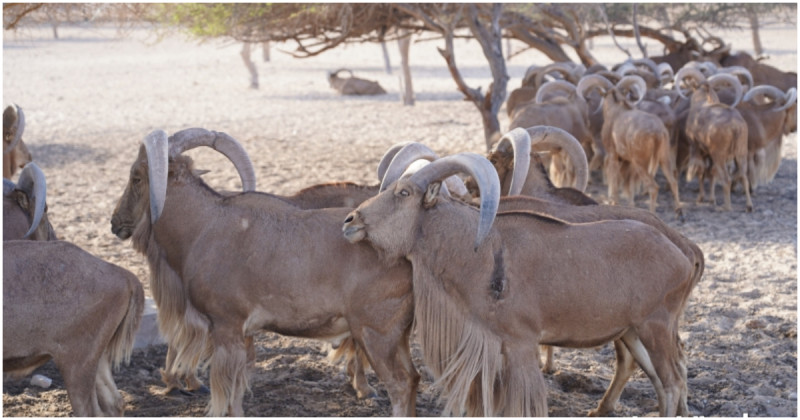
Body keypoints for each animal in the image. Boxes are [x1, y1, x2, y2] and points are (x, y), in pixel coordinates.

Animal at [111, 128, 418, 416]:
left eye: (136, 177)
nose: (115, 222)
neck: (203, 226)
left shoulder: (227, 325)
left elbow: (227, 390)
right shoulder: (243, 333)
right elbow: (237, 388)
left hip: (377, 332)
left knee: (400, 384)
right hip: (398, 335)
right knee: (414, 379)